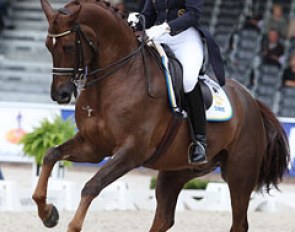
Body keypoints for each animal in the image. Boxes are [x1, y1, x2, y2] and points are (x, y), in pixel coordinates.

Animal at [33, 0, 290, 231]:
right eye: (47, 46)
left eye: (67, 46)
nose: (61, 94)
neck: (116, 78)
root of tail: (252, 102)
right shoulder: (93, 146)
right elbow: (50, 155)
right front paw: (48, 214)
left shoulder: (130, 152)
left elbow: (91, 185)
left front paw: (69, 223)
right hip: (176, 172)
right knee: (164, 219)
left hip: (240, 175)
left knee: (239, 224)